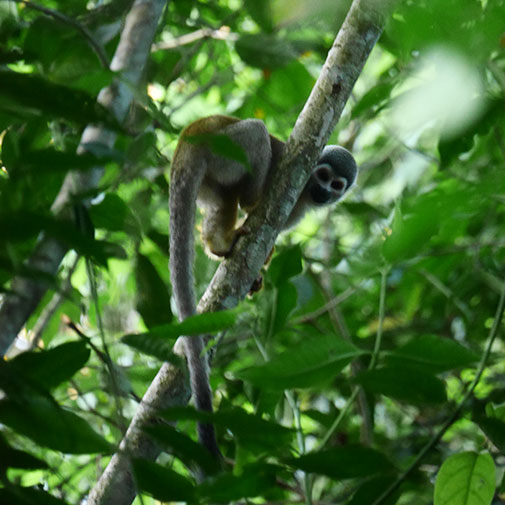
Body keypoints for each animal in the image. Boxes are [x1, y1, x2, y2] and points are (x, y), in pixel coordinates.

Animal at [168, 115, 354, 468]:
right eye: (323, 176)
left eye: (337, 185)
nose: (325, 192)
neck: (306, 193)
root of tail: (191, 134)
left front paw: (257, 272)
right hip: (226, 148)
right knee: (256, 131)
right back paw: (251, 200)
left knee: (223, 199)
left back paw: (219, 244)